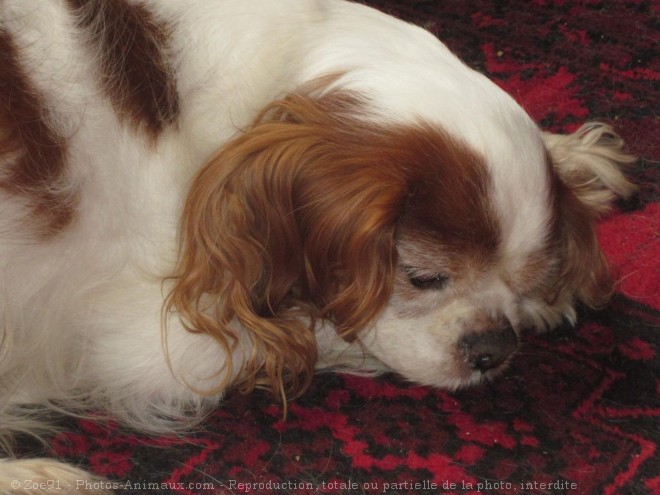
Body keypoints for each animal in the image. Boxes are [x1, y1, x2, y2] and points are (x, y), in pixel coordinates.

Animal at [0, 0, 636, 490]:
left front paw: (571, 166)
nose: (492, 350)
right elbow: (313, 331)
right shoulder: (151, 340)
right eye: (423, 277)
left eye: (526, 274)